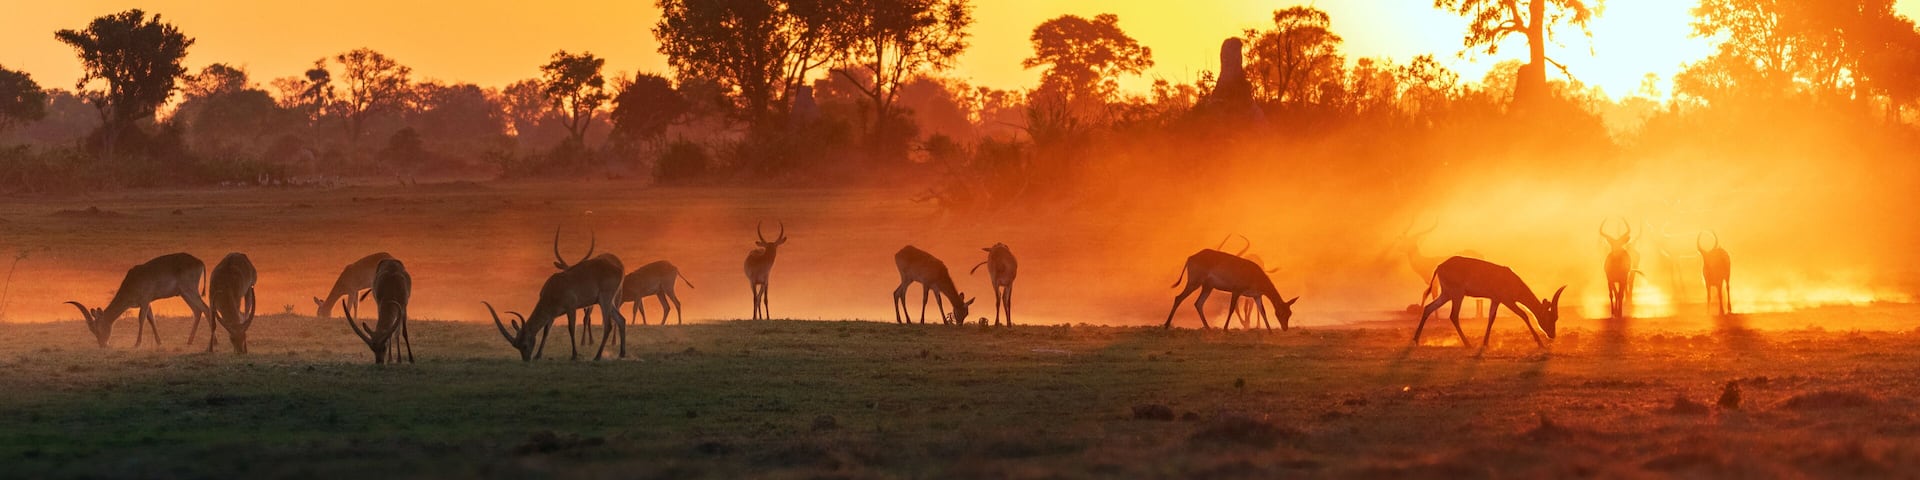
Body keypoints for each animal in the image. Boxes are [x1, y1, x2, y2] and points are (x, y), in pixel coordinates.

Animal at [66, 253, 212, 348]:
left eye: (98, 327)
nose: (103, 344)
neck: (132, 281)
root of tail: (199, 261)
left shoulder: (145, 300)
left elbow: (141, 319)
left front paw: (137, 343)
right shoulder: (148, 302)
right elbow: (151, 319)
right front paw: (159, 342)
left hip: (190, 291)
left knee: (206, 309)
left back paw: (213, 342)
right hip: (184, 294)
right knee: (197, 311)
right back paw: (190, 341)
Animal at [486, 252, 626, 361]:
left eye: (524, 345)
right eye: (516, 346)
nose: (526, 359)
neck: (553, 289)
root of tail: (619, 268)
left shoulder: (571, 308)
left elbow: (571, 329)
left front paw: (574, 356)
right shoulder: (552, 314)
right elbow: (546, 331)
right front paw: (538, 355)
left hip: (605, 299)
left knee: (608, 325)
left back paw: (597, 357)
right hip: (606, 301)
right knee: (621, 320)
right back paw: (621, 354)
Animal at [1162, 249, 1298, 331]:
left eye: (1290, 313)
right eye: (1282, 313)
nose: (1285, 328)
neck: (1255, 276)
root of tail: (1190, 257)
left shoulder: (1256, 296)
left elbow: (1262, 311)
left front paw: (1270, 331)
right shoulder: (1236, 291)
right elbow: (1232, 309)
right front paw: (1225, 329)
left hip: (1207, 287)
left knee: (1198, 303)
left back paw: (1208, 328)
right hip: (1194, 282)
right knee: (1179, 298)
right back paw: (1166, 325)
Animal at [1415, 256, 1566, 349]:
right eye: (1551, 318)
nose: (1552, 335)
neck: (1512, 280)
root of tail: (1439, 266)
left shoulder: (1496, 299)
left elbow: (1491, 318)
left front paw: (1485, 343)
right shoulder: (1507, 300)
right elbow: (1524, 315)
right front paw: (1540, 343)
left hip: (1446, 294)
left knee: (1428, 307)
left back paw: (1416, 340)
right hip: (1457, 294)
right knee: (1453, 316)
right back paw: (1468, 344)